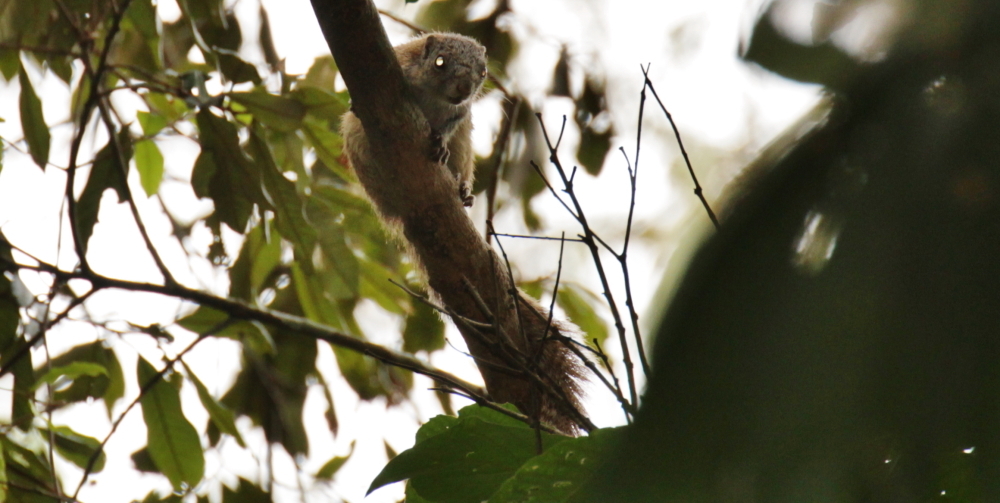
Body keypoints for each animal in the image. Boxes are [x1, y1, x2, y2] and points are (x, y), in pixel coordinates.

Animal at [340, 33, 488, 207]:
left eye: (483, 72)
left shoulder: (461, 112)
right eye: (439, 62)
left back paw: (463, 190)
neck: (434, 95)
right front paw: (354, 105)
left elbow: (450, 126)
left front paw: (441, 142)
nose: (465, 89)